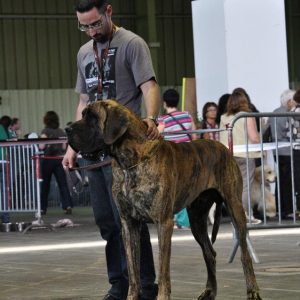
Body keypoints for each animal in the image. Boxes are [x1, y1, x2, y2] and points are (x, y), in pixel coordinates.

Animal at [67, 99, 262, 298]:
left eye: (92, 117)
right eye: (83, 115)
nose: (67, 129)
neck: (129, 162)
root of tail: (223, 147)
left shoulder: (164, 223)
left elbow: (163, 270)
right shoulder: (128, 224)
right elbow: (133, 272)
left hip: (235, 207)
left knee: (244, 254)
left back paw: (252, 290)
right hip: (197, 220)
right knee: (209, 253)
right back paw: (209, 291)